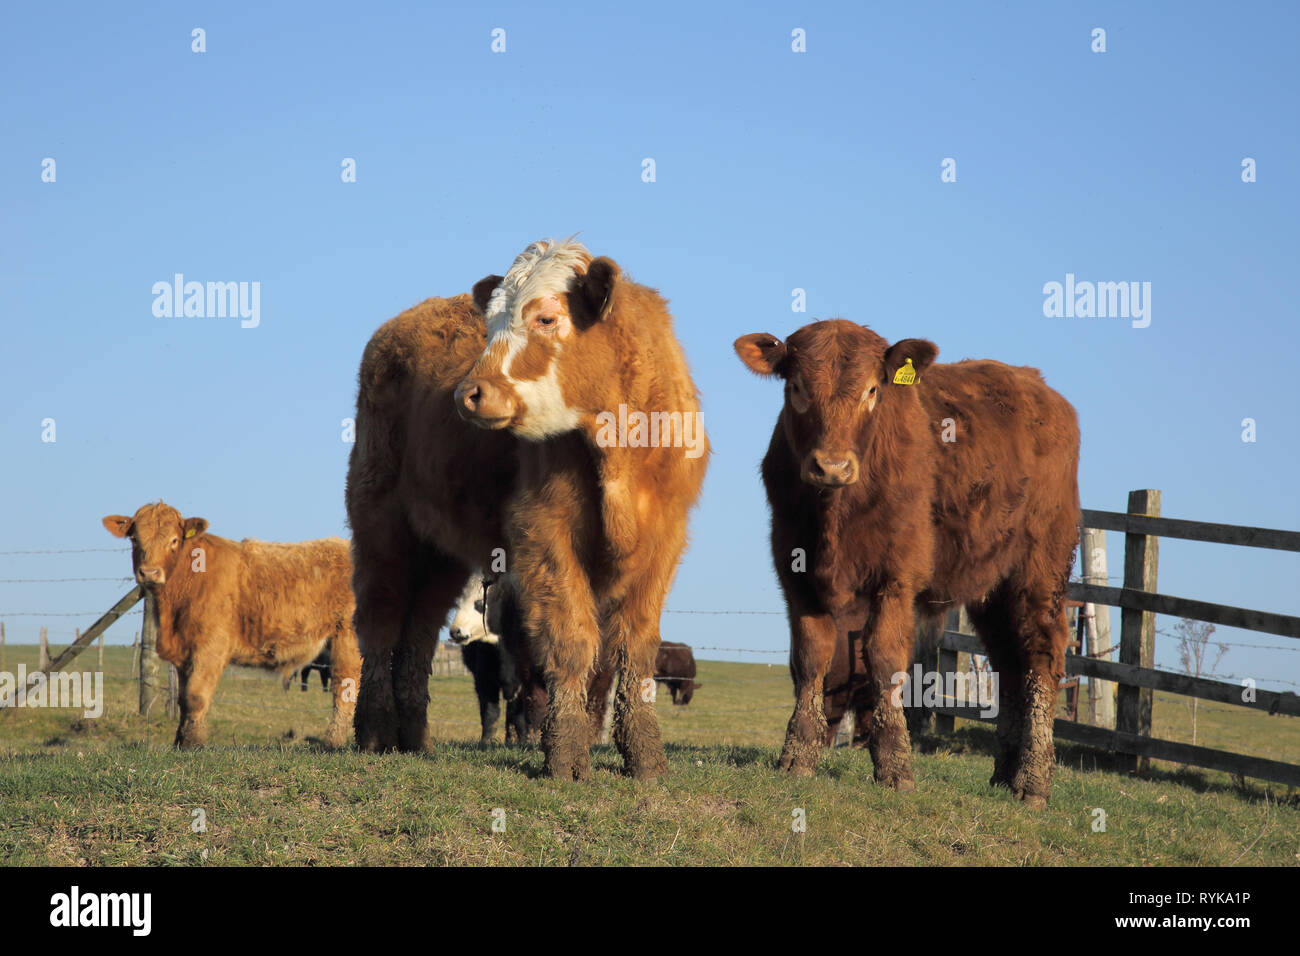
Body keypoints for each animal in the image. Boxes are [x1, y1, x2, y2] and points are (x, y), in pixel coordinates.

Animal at [100, 502, 361, 749]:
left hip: (347, 639)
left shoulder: (210, 647)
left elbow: (196, 696)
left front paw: (193, 743)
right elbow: (183, 699)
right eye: (135, 538)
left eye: (173, 540)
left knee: (344, 688)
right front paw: (180, 741)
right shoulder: (184, 652)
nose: (149, 572)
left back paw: (333, 741)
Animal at [345, 293, 517, 754]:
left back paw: (415, 736)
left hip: (441, 552)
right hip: (381, 525)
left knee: (418, 629)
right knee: (381, 617)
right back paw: (376, 733)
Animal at [452, 239, 707, 785]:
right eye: (489, 325)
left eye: (546, 318)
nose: (468, 394)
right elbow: (569, 642)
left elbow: (634, 649)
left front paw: (644, 757)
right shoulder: (544, 533)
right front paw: (565, 753)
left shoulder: (665, 539)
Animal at [738, 321, 1081, 806]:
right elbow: (809, 659)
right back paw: (1005, 775)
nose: (832, 466)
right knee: (1009, 664)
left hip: (1040, 572)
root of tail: (1041, 388)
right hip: (991, 589)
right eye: (797, 387)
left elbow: (883, 659)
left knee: (1040, 657)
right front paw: (797, 757)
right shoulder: (795, 575)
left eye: (872, 390)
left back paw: (1032, 781)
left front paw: (895, 766)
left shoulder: (896, 578)